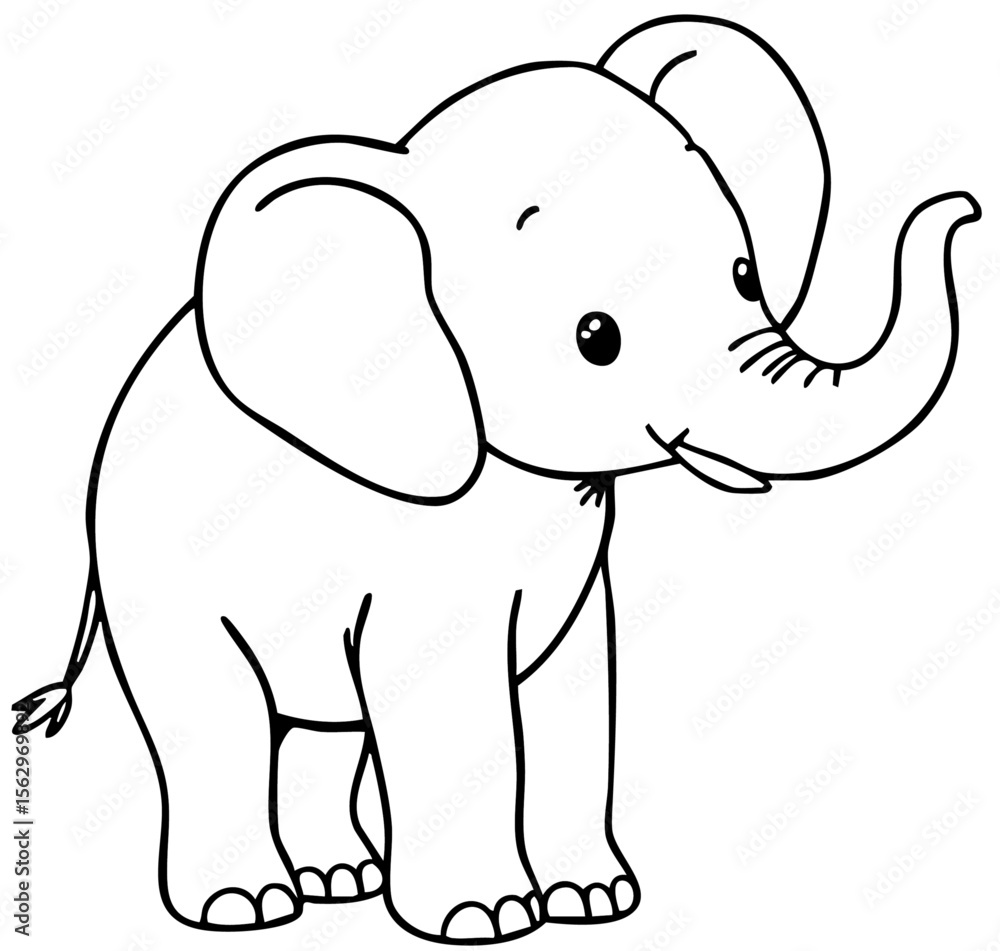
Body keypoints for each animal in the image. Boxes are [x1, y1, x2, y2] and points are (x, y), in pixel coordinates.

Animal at [13, 14, 979, 944]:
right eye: (596, 337)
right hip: (154, 573)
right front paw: (487, 920)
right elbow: (448, 700)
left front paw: (595, 901)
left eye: (745, 276)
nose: (963, 209)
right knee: (216, 720)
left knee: (327, 726)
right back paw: (247, 905)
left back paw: (342, 881)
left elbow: (575, 691)